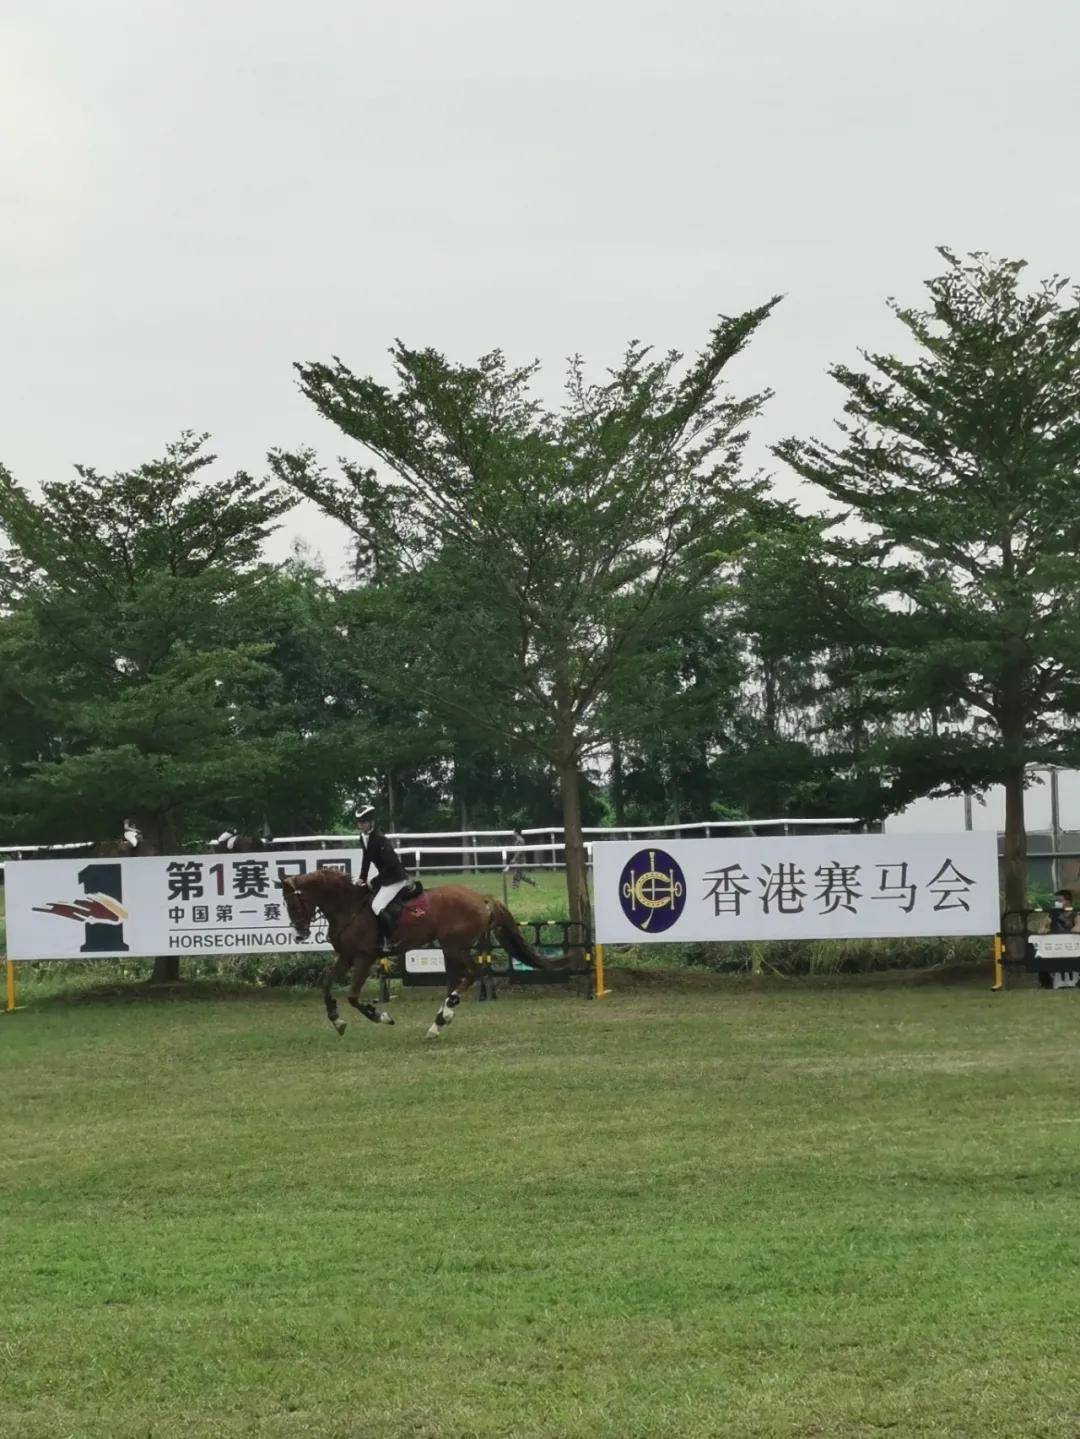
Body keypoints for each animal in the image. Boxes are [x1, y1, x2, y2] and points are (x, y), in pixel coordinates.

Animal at [274, 863, 566, 1036]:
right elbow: (326, 986)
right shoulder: (345, 956)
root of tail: (480, 898)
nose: (300, 934)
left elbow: (353, 997)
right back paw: (439, 1020)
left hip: (455, 947)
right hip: (449, 950)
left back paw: (445, 1015)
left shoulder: (365, 957)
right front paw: (337, 1020)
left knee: (471, 973)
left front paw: (379, 1015)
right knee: (455, 980)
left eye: (294, 904)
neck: (349, 907)